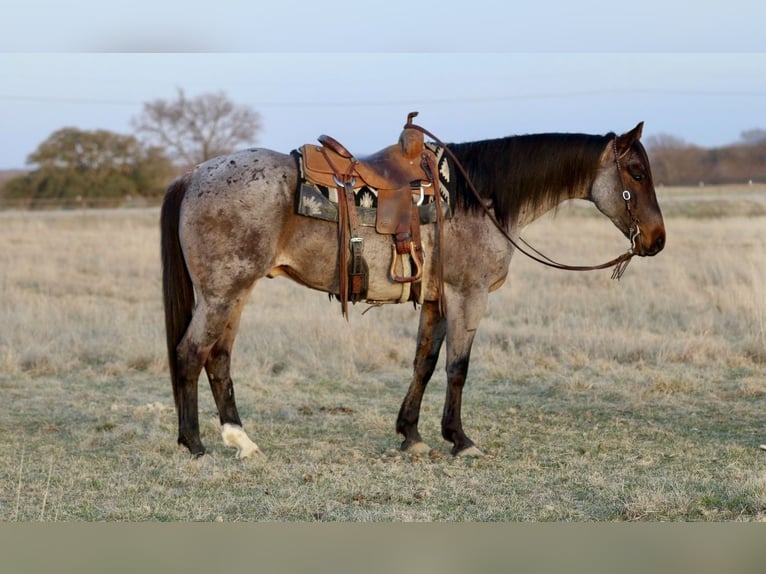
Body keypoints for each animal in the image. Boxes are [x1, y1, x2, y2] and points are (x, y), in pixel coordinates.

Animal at [160, 120, 665, 459]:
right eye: (636, 173)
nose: (657, 240)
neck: (477, 197)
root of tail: (194, 174)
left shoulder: (437, 300)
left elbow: (424, 362)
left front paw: (411, 434)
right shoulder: (468, 295)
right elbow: (458, 367)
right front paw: (460, 439)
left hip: (235, 294)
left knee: (218, 359)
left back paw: (241, 440)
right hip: (223, 294)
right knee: (190, 353)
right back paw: (195, 443)